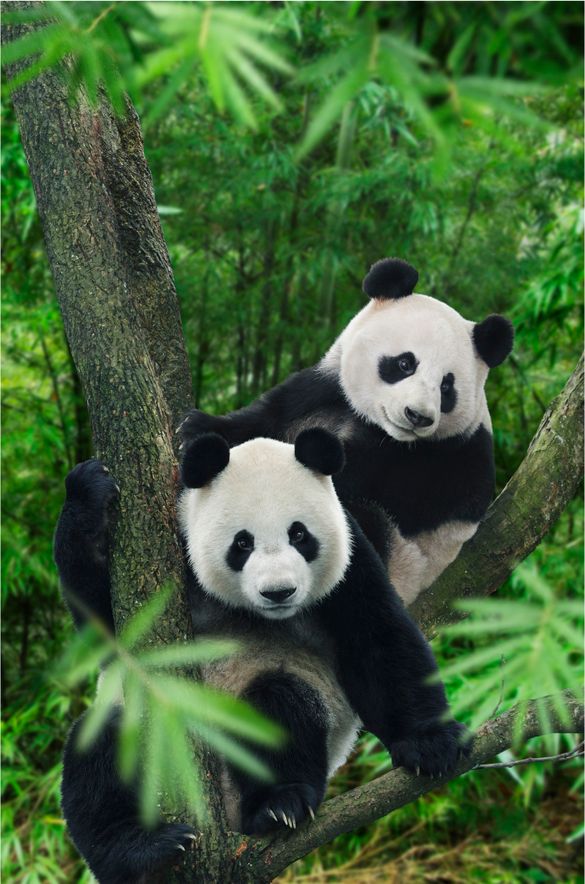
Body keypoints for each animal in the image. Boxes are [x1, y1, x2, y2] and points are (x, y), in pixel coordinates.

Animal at [55, 428, 469, 884]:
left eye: (300, 535)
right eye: (242, 542)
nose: (278, 591)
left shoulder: (351, 560)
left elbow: (378, 642)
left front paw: (431, 744)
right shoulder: (176, 554)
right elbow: (104, 624)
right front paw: (88, 489)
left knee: (279, 706)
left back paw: (277, 805)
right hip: (136, 720)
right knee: (98, 752)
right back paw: (141, 851)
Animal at [181, 258, 514, 604]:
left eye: (447, 386)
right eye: (405, 364)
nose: (418, 416)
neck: (381, 428)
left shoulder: (438, 459)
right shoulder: (324, 389)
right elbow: (265, 420)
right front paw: (197, 429)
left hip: (404, 564)